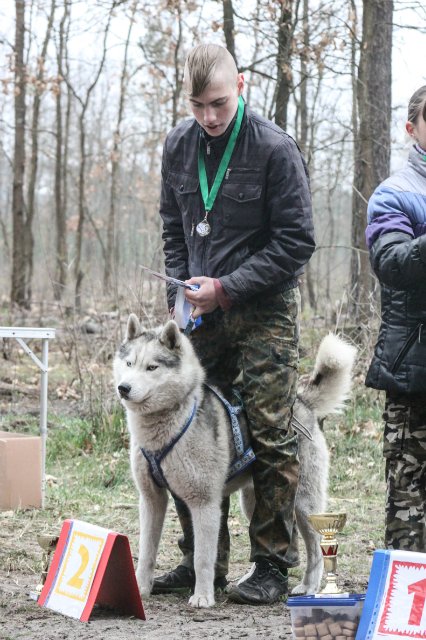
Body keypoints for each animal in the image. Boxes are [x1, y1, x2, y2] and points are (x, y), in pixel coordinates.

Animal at [113, 318, 356, 608]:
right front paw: (140, 589)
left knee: (315, 547)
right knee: (267, 535)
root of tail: (302, 402)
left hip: (304, 505)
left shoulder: (205, 503)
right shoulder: (152, 500)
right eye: (129, 363)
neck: (168, 426)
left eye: (152, 367)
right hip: (254, 502)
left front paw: (203, 596)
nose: (123, 388)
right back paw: (251, 579)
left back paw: (308, 586)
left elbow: (203, 558)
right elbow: (147, 552)